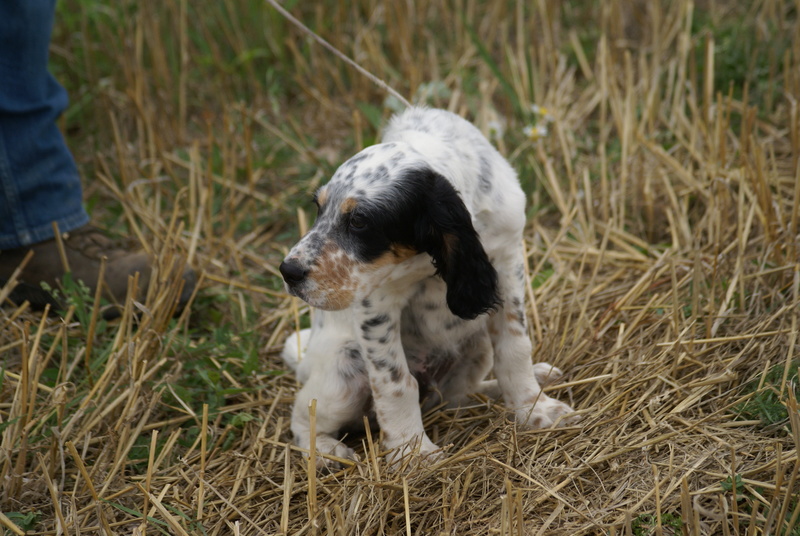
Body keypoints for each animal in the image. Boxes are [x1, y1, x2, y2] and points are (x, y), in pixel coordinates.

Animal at [278, 105, 572, 464]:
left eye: (359, 221)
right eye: (319, 209)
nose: (288, 271)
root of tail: (304, 362)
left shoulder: (506, 261)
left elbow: (514, 346)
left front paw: (535, 408)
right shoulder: (376, 299)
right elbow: (396, 382)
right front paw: (413, 453)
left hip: (476, 344)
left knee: (459, 395)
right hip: (344, 369)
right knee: (303, 415)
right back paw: (326, 452)